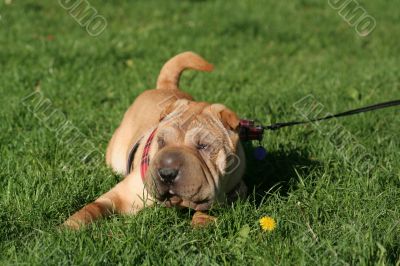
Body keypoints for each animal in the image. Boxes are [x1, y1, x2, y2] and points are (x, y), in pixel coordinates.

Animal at [64, 51, 247, 229]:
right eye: (161, 142)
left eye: (203, 146)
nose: (167, 173)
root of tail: (166, 87)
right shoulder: (120, 195)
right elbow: (93, 208)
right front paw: (68, 227)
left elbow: (209, 208)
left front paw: (202, 223)